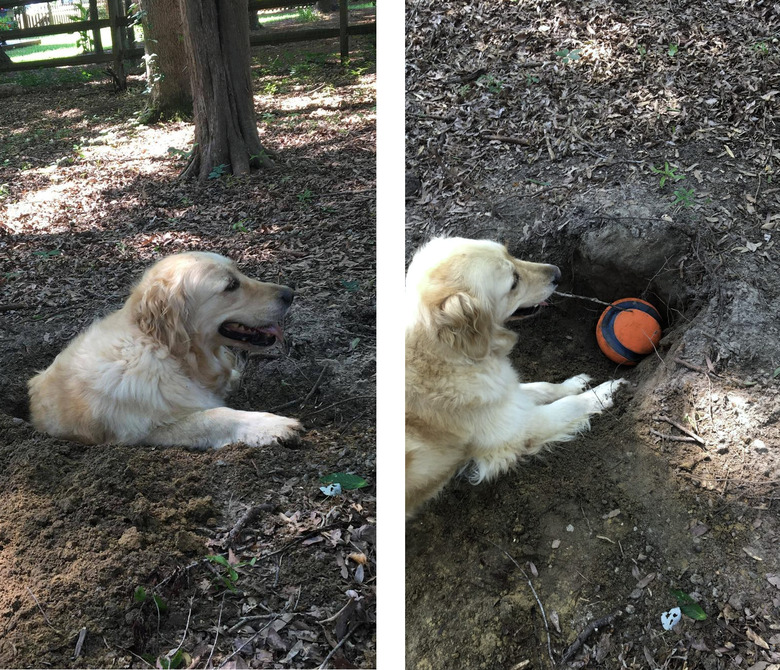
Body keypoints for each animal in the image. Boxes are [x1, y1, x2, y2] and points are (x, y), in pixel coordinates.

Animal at [27, 252, 302, 452]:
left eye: (239, 272)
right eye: (231, 285)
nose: (289, 293)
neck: (166, 350)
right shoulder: (150, 428)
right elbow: (216, 416)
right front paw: (273, 424)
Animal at [406, 240, 624, 520]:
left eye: (509, 252)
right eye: (513, 282)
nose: (558, 273)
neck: (452, 355)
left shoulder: (504, 392)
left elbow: (542, 387)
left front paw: (574, 383)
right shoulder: (519, 429)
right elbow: (569, 405)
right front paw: (606, 390)